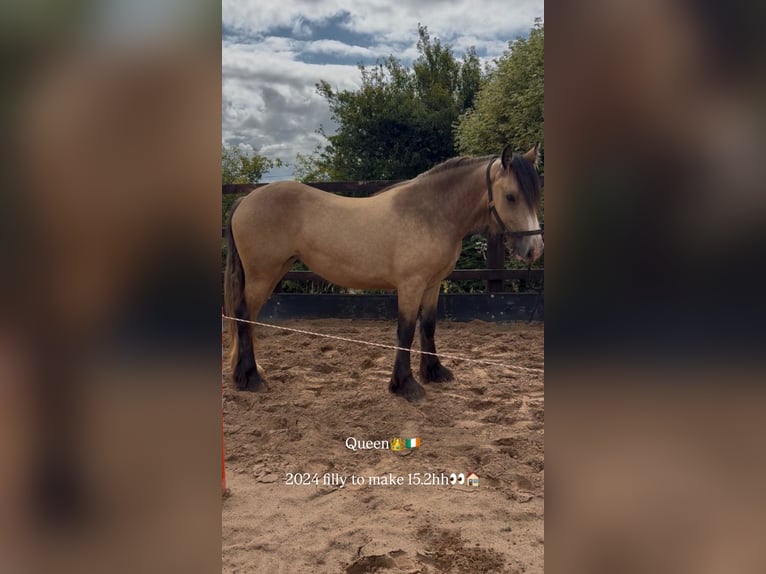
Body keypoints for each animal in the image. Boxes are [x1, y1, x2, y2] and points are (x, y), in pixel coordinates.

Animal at [224, 144, 543, 401]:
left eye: (534, 195)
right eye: (511, 196)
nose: (534, 249)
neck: (431, 212)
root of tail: (244, 200)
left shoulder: (433, 285)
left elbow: (428, 327)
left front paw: (434, 372)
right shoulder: (411, 285)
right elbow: (406, 331)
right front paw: (405, 385)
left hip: (272, 273)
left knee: (249, 319)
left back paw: (249, 372)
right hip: (262, 275)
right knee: (243, 315)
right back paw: (251, 378)